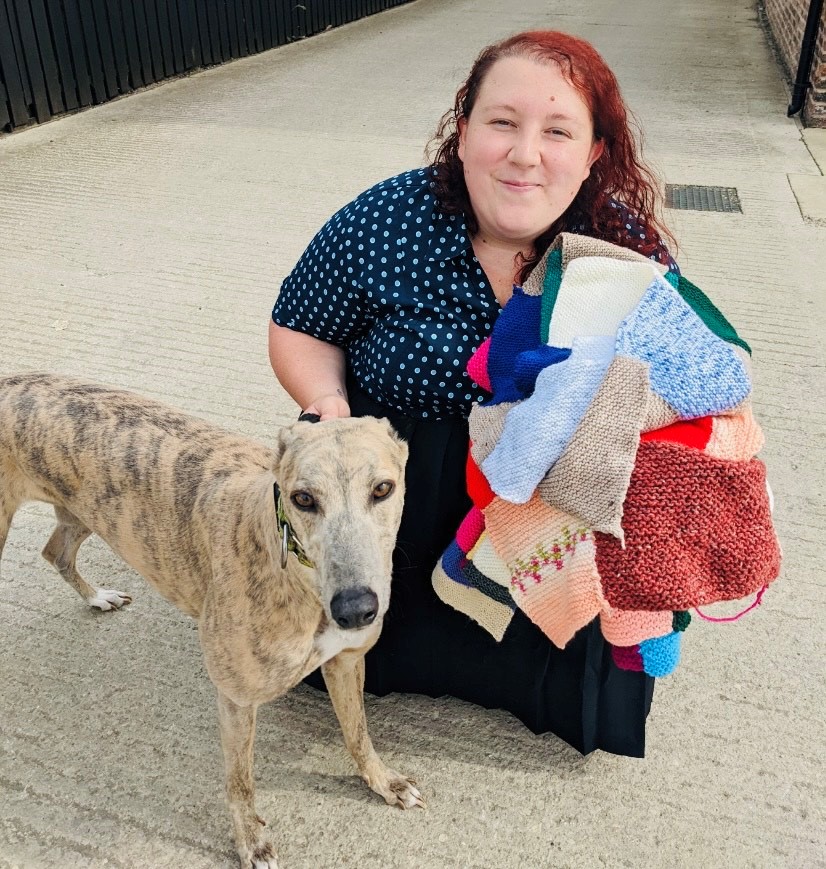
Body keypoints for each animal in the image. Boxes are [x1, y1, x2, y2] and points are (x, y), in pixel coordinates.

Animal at [0, 370, 422, 864]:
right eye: (302, 498)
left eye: (383, 489)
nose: (355, 610)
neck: (296, 574)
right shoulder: (236, 699)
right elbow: (240, 783)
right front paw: (251, 843)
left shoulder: (346, 662)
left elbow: (357, 733)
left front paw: (384, 781)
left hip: (84, 510)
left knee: (56, 552)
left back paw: (97, 597)